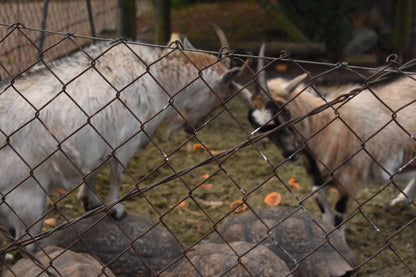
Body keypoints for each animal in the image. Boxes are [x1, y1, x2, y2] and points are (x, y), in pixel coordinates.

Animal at [0, 40, 242, 251]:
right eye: (221, 97)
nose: (192, 129)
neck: (158, 77)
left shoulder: (98, 143)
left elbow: (92, 172)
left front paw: (90, 201)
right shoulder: (125, 143)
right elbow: (117, 176)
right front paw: (115, 210)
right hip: (26, 195)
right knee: (24, 240)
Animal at [247, 44, 416, 238]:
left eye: (286, 112)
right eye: (260, 128)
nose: (290, 152)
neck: (325, 124)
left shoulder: (350, 180)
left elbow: (338, 215)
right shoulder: (320, 179)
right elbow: (320, 201)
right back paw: (401, 201)